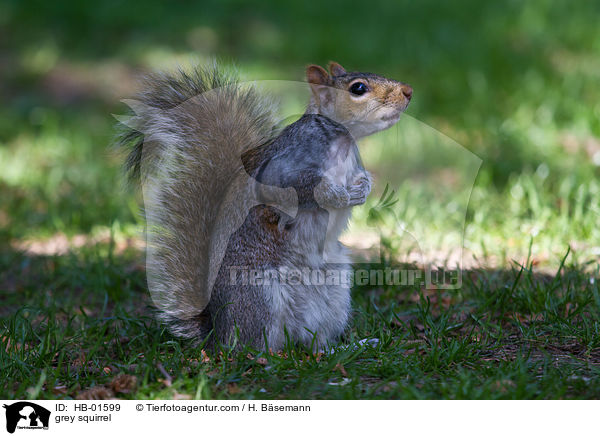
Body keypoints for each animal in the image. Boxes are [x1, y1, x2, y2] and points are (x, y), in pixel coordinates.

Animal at [119, 60, 410, 350]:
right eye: (358, 88)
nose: (408, 91)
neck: (342, 142)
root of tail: (217, 334)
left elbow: (361, 178)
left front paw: (363, 189)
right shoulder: (281, 170)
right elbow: (302, 189)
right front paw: (338, 196)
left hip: (335, 292)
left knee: (316, 340)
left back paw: (346, 347)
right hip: (259, 294)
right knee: (254, 343)